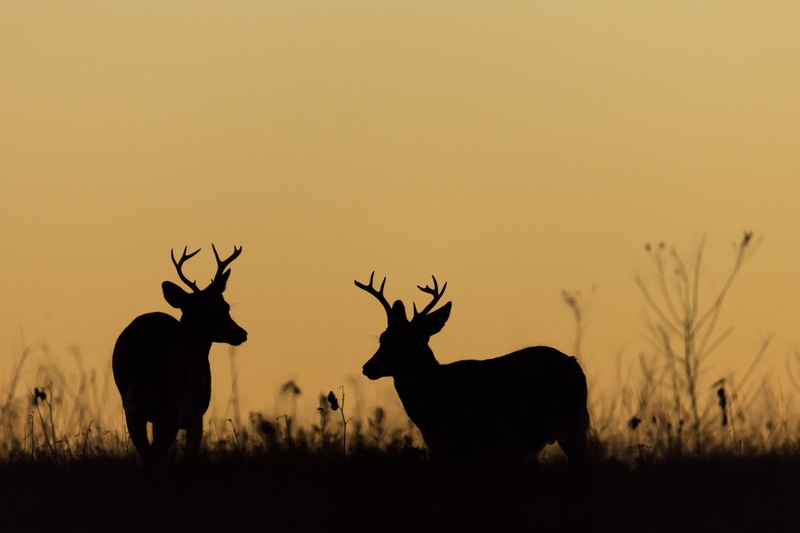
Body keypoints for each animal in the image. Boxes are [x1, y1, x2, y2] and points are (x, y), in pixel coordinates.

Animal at [113, 245, 247, 474]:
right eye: (225, 307)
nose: (242, 333)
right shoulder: (197, 412)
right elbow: (190, 456)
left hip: (132, 404)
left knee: (147, 454)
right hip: (173, 400)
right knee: (155, 454)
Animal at [355, 272, 590, 466]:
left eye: (409, 341)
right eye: (382, 338)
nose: (368, 367)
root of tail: (575, 365)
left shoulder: (466, 441)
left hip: (571, 422)